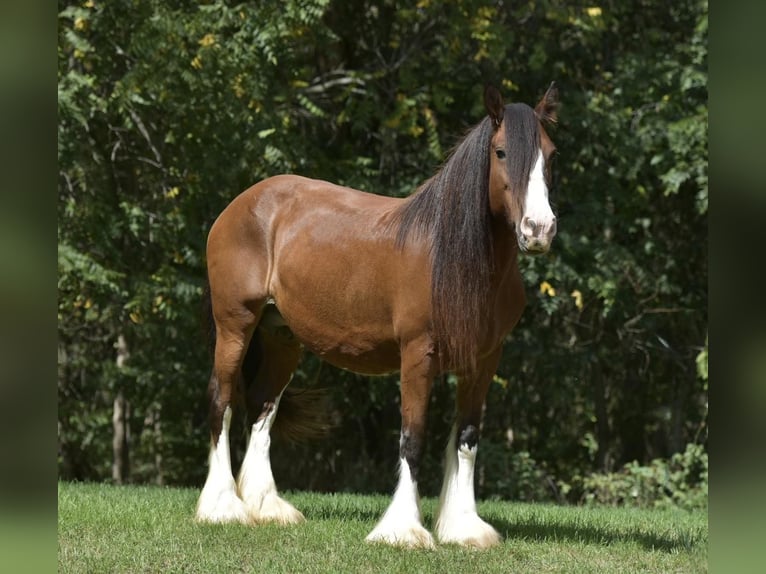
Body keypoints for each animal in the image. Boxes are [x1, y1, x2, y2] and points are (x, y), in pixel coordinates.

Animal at [195, 84, 560, 548]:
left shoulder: (484, 359)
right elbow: (412, 438)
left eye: (550, 154)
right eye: (500, 152)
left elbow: (467, 438)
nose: (538, 230)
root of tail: (241, 204)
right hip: (236, 325)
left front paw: (463, 528)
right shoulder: (418, 354)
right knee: (221, 399)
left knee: (261, 406)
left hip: (281, 337)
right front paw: (403, 530)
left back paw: (269, 508)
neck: (454, 258)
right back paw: (223, 508)